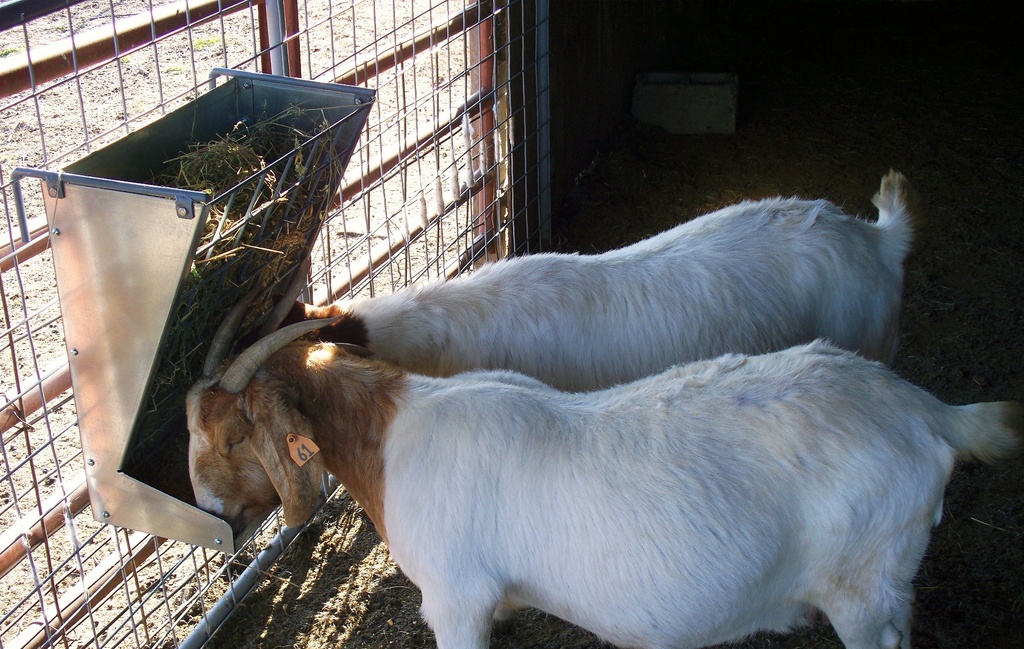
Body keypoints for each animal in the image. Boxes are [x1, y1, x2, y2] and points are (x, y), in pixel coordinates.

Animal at [187, 321, 1022, 649]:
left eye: (228, 435)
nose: (212, 514)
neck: (390, 437)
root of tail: (928, 411)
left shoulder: (455, 599)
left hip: (862, 587)